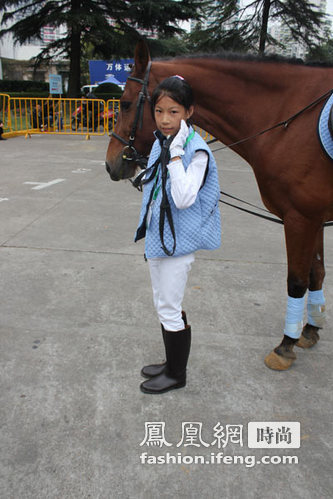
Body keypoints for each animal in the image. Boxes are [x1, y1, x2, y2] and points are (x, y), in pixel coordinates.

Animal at [105, 41, 332, 372]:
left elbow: (297, 280)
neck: (289, 121)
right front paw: (310, 330)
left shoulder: (300, 218)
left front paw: (285, 345)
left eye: (123, 103)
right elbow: (316, 272)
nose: (110, 164)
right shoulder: (314, 218)